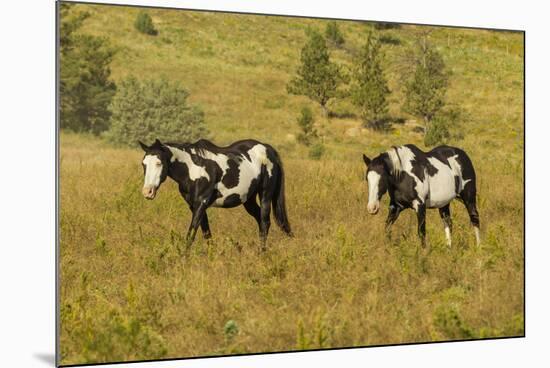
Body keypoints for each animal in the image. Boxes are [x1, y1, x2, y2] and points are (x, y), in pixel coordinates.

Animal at [139, 139, 294, 250]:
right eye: (143, 164)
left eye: (159, 163)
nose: (147, 192)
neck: (193, 169)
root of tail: (268, 149)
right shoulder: (195, 206)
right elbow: (206, 233)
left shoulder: (201, 204)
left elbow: (191, 234)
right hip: (248, 200)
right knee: (261, 221)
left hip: (265, 195)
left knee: (265, 221)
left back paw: (262, 252)